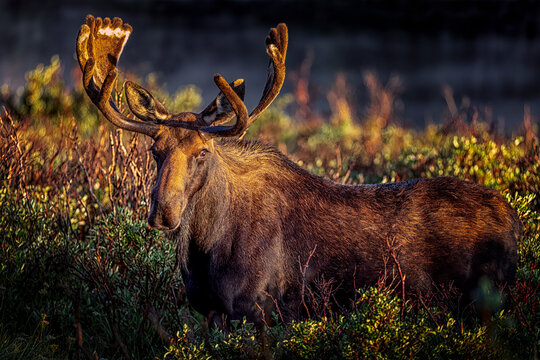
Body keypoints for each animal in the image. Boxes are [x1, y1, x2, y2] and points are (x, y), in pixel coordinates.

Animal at [75, 15, 520, 324]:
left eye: (203, 151)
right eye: (155, 149)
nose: (163, 212)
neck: (204, 252)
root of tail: (513, 218)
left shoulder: (264, 311)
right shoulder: (212, 313)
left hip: (483, 300)